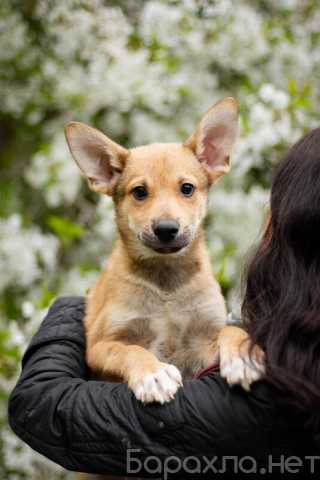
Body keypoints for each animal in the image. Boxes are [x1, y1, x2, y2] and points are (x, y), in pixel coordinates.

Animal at [65, 96, 262, 404]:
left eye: (187, 188)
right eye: (139, 192)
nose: (166, 229)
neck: (166, 284)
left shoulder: (202, 344)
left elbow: (230, 329)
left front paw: (244, 354)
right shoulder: (101, 344)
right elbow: (130, 350)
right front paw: (153, 373)